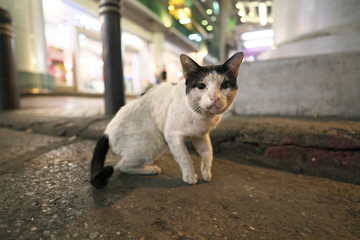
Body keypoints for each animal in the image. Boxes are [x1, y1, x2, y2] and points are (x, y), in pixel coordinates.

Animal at [89, 52, 245, 188]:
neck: (203, 117)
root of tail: (106, 131)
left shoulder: (201, 136)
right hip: (154, 142)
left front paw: (206, 172)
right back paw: (151, 169)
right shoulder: (172, 136)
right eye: (201, 86)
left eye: (225, 85)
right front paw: (190, 175)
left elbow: (208, 153)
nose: (215, 98)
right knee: (121, 166)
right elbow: (184, 157)